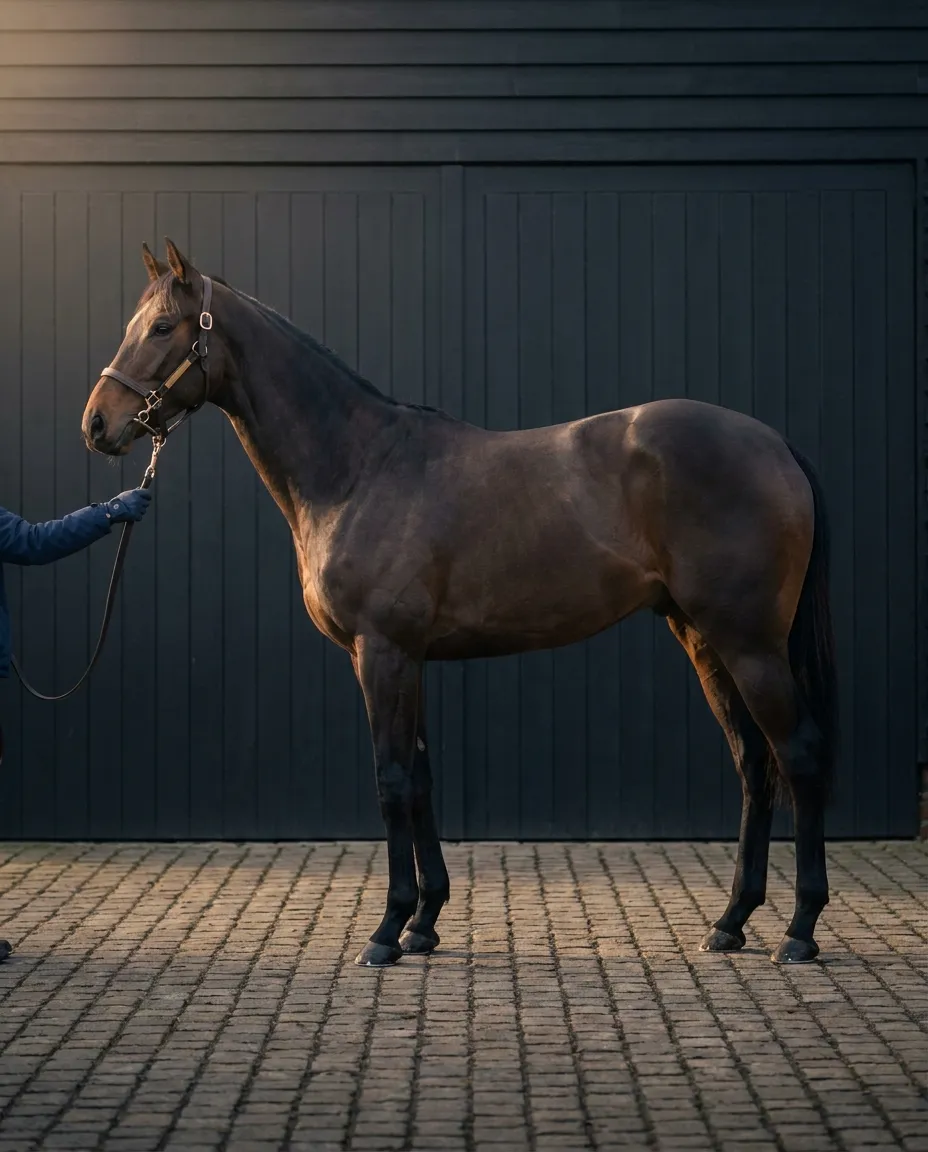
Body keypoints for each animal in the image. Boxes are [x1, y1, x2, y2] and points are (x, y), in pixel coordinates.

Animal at [82, 239, 838, 968]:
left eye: (162, 327)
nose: (97, 424)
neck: (357, 468)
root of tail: (774, 443)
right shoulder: (406, 658)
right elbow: (421, 779)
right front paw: (424, 922)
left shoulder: (382, 653)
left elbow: (391, 781)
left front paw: (387, 930)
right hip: (703, 639)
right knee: (754, 763)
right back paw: (731, 922)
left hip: (749, 643)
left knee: (797, 753)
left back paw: (799, 931)